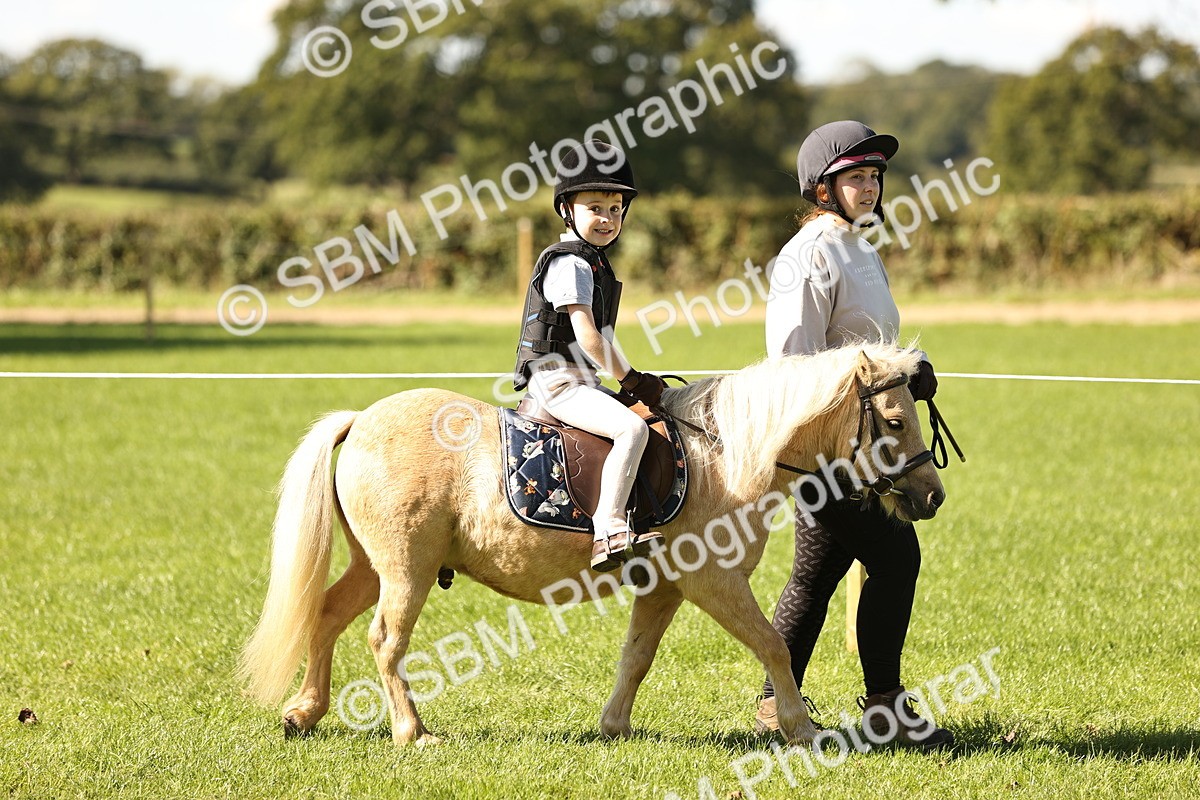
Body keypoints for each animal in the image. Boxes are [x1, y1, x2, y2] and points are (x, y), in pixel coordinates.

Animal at [238, 341, 946, 747]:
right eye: (892, 421)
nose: (931, 496)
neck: (725, 452)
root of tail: (361, 421)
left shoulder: (666, 588)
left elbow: (636, 657)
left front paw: (614, 727)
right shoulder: (714, 584)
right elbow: (773, 643)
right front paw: (801, 728)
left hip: (373, 566)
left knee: (326, 616)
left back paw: (304, 712)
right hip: (405, 571)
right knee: (385, 641)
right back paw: (412, 732)